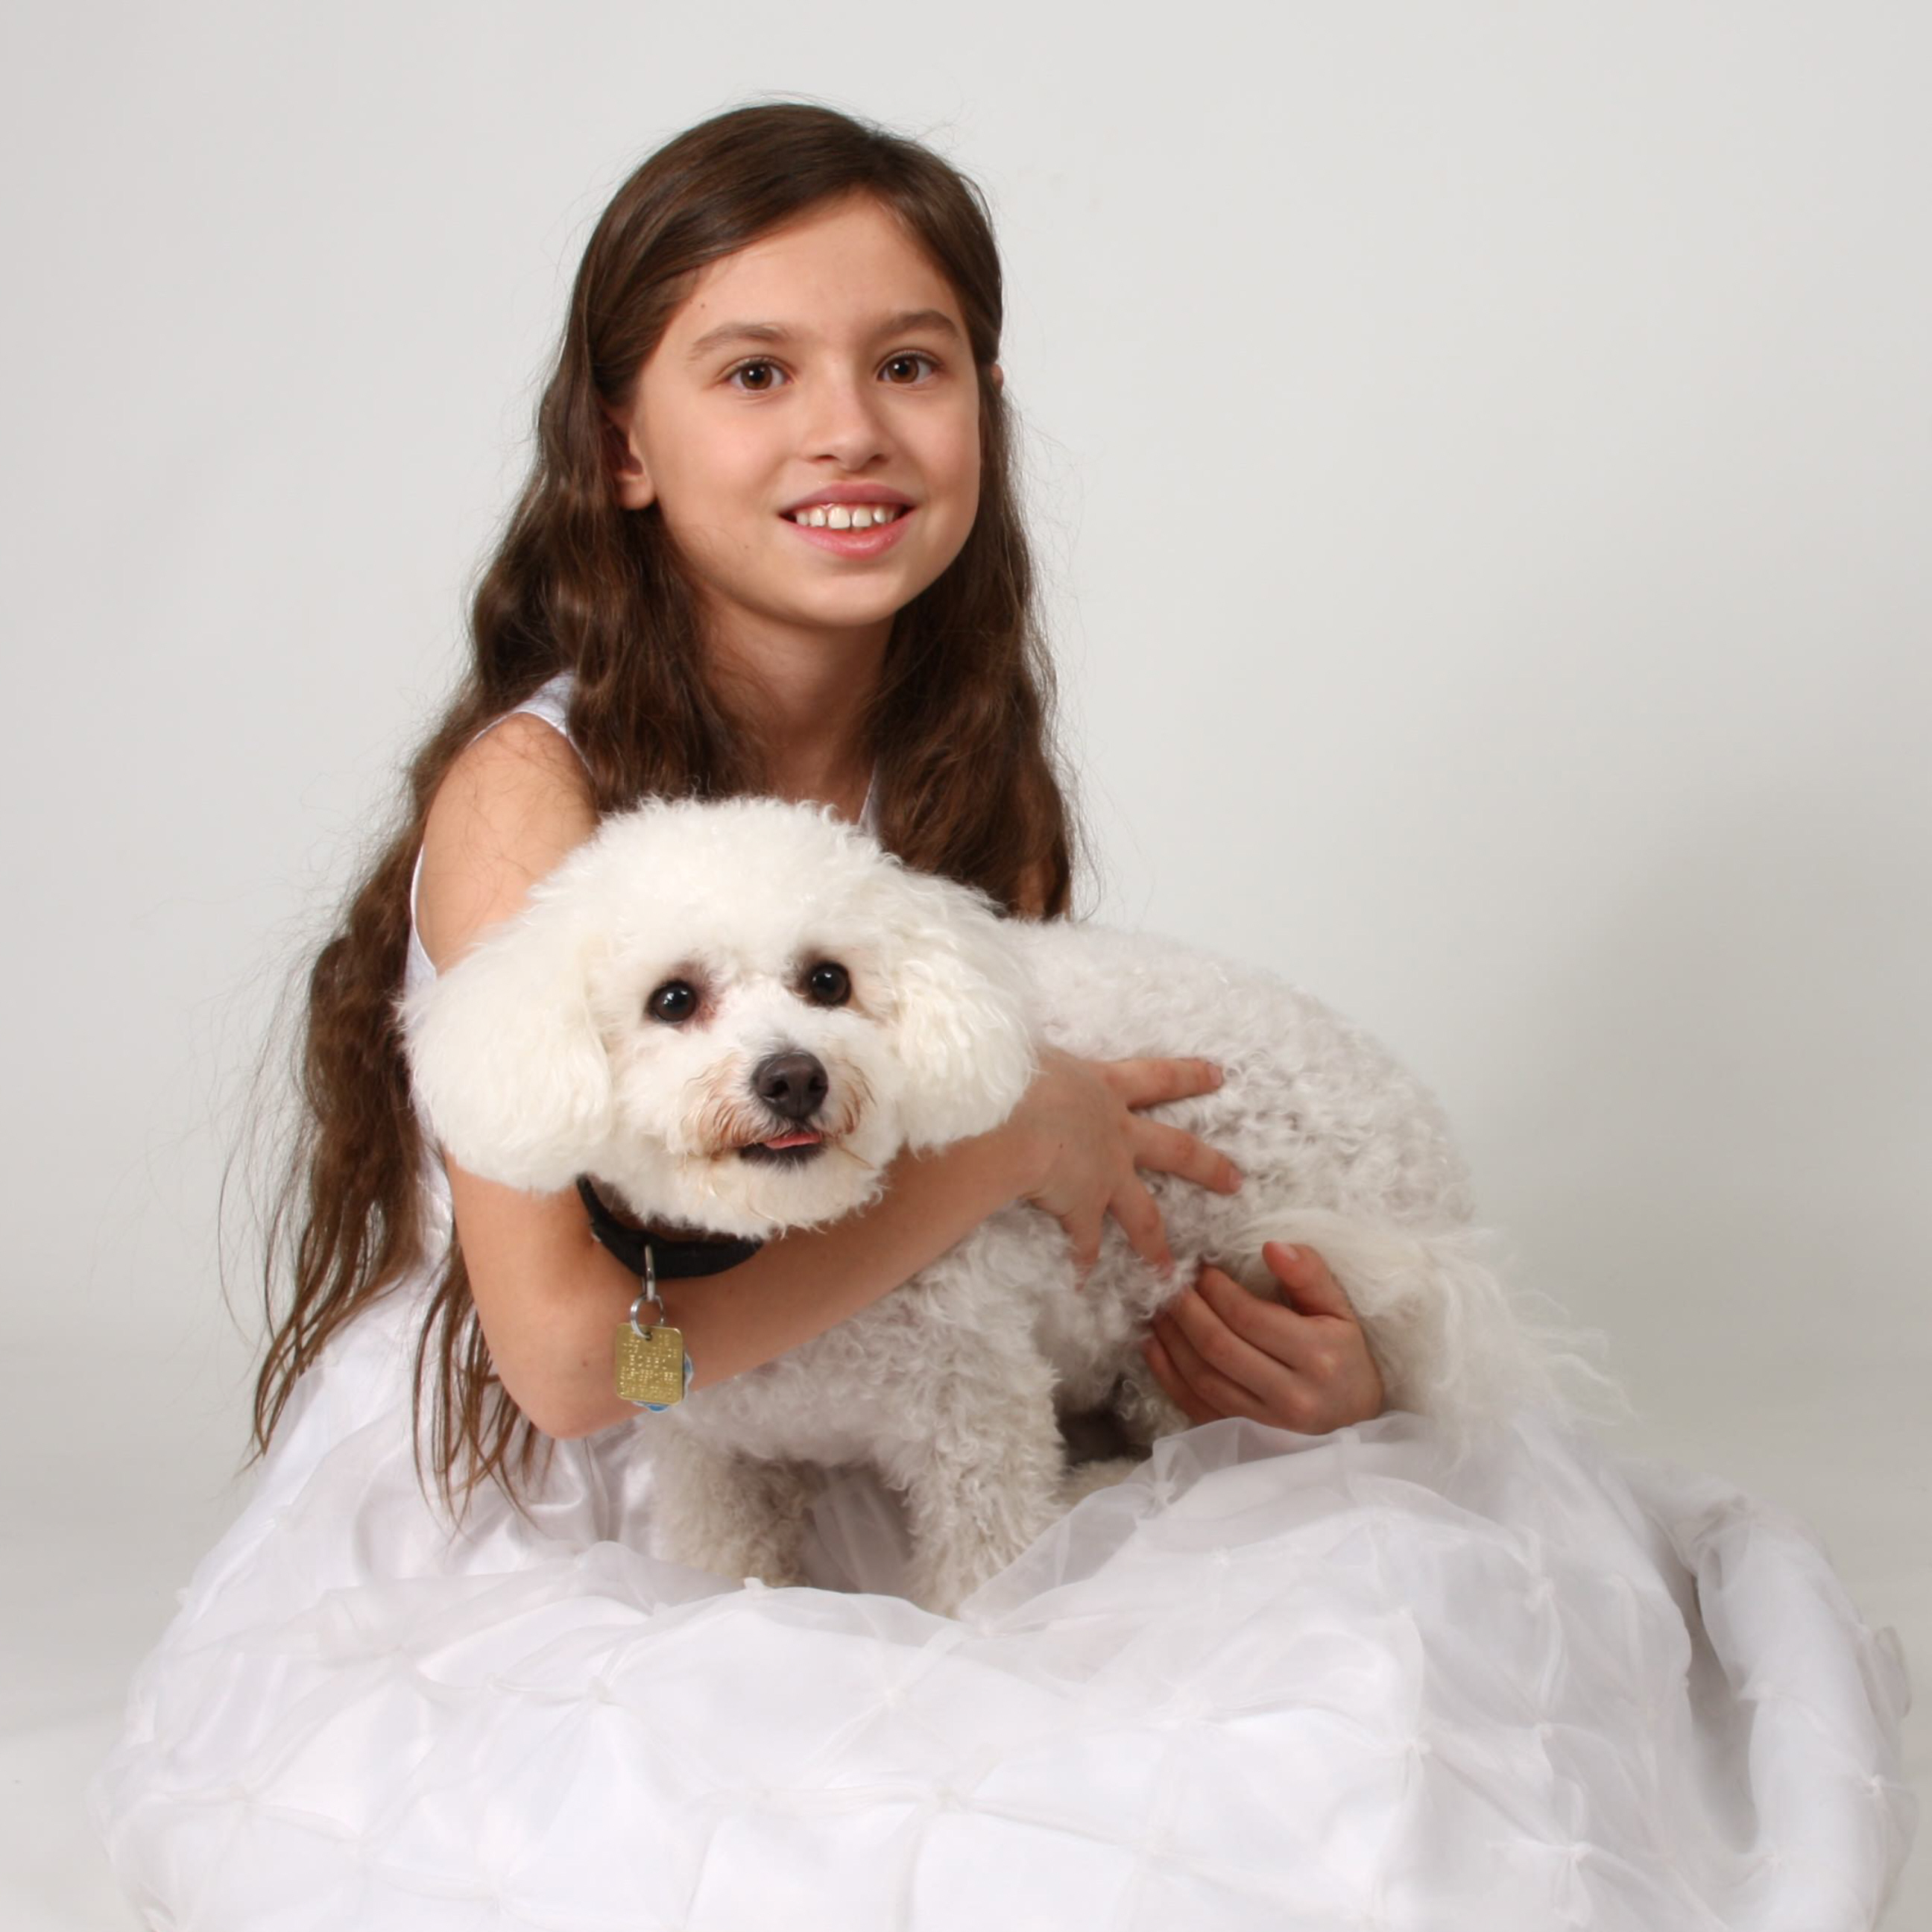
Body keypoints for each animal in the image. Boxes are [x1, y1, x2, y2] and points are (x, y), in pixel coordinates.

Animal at [404, 798, 1566, 1614]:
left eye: (828, 980)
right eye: (674, 999)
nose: (794, 1077)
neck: (788, 1252)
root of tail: (1441, 1184)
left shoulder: (977, 1417)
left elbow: (988, 1570)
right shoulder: (715, 1453)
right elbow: (727, 1560)